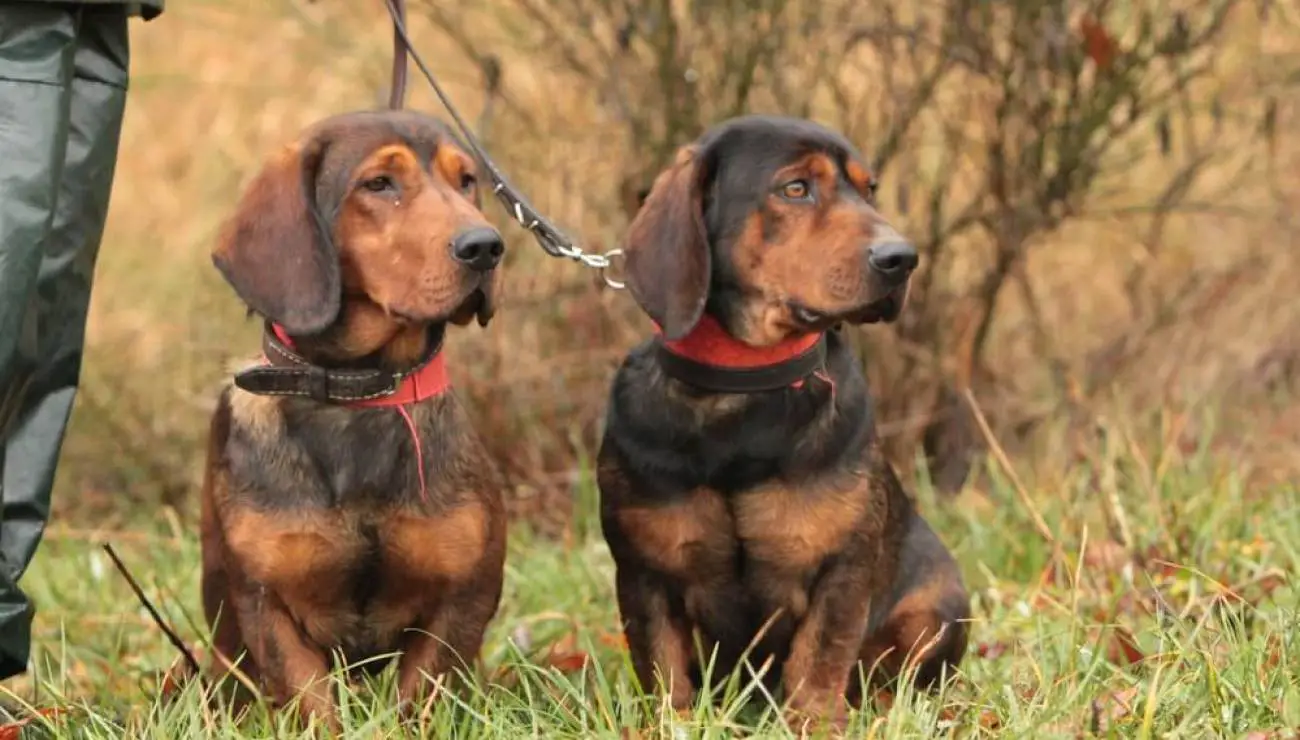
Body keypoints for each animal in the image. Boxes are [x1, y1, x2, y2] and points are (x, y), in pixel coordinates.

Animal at [197, 111, 506, 728]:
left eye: (466, 181)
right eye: (379, 184)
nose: (487, 247)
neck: (359, 395)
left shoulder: (462, 599)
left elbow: (423, 701)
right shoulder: (268, 608)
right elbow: (312, 707)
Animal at [595, 113, 967, 723]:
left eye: (869, 189)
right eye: (796, 188)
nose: (902, 258)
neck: (746, 385)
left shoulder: (841, 568)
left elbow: (819, 660)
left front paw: (817, 723)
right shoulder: (645, 572)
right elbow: (663, 670)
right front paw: (670, 725)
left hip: (937, 607)